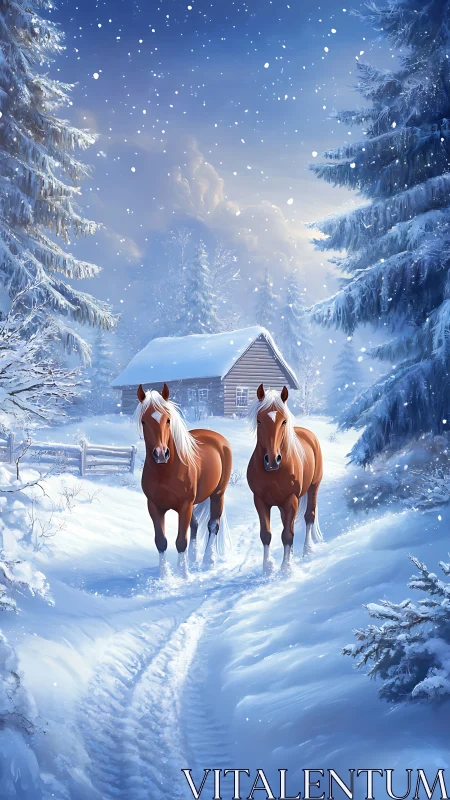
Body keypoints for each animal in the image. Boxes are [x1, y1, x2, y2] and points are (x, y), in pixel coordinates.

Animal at [135, 383, 232, 577]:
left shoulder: (184, 505)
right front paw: (164, 575)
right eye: (144, 421)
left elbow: (181, 541)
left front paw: (183, 574)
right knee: (195, 524)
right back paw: (194, 558)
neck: (164, 471)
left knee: (213, 525)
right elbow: (161, 541)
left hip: (218, 494)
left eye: (168, 420)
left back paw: (208, 560)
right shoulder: (154, 506)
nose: (160, 454)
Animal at [247, 384, 323, 573]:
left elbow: (288, 535)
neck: (273, 473)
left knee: (309, 517)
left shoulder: (291, 499)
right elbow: (266, 534)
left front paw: (286, 568)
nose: (272, 460)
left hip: (313, 488)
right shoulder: (260, 501)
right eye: (259, 421)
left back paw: (307, 550)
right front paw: (267, 568)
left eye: (284, 421)